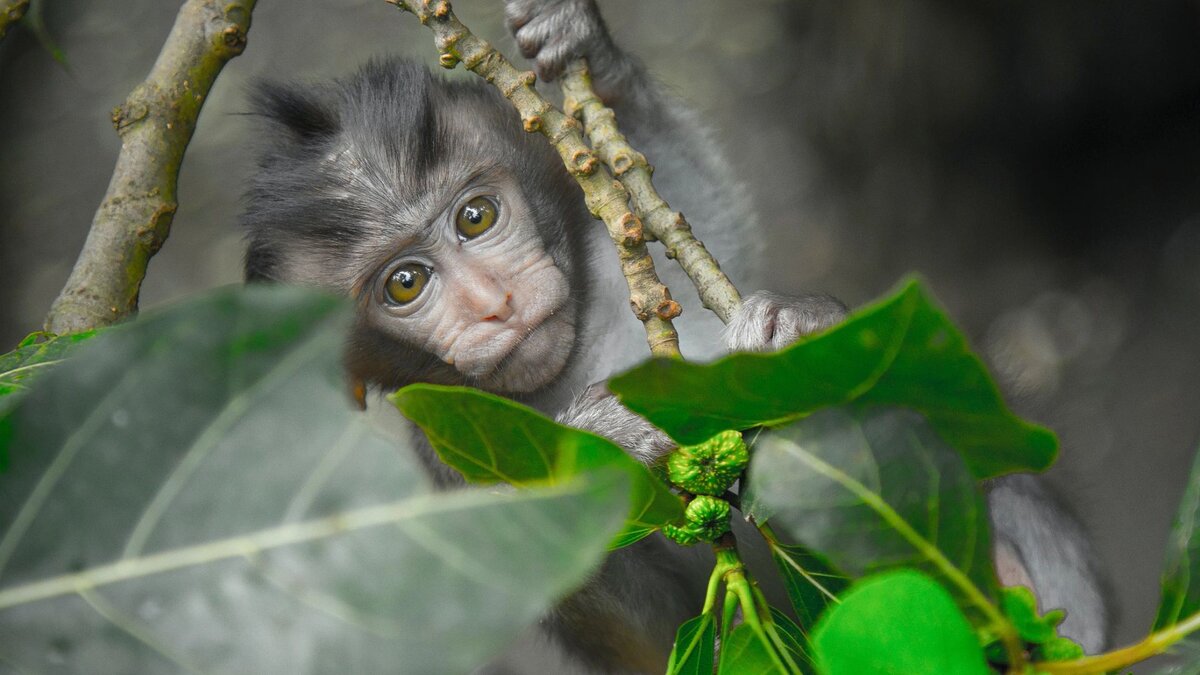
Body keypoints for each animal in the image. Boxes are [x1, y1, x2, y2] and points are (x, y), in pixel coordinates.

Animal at [238, 0, 1108, 667]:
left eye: (476, 217)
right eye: (406, 284)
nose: (493, 303)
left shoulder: (608, 255)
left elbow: (689, 213)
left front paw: (584, 44)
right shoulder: (443, 460)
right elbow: (648, 639)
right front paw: (604, 439)